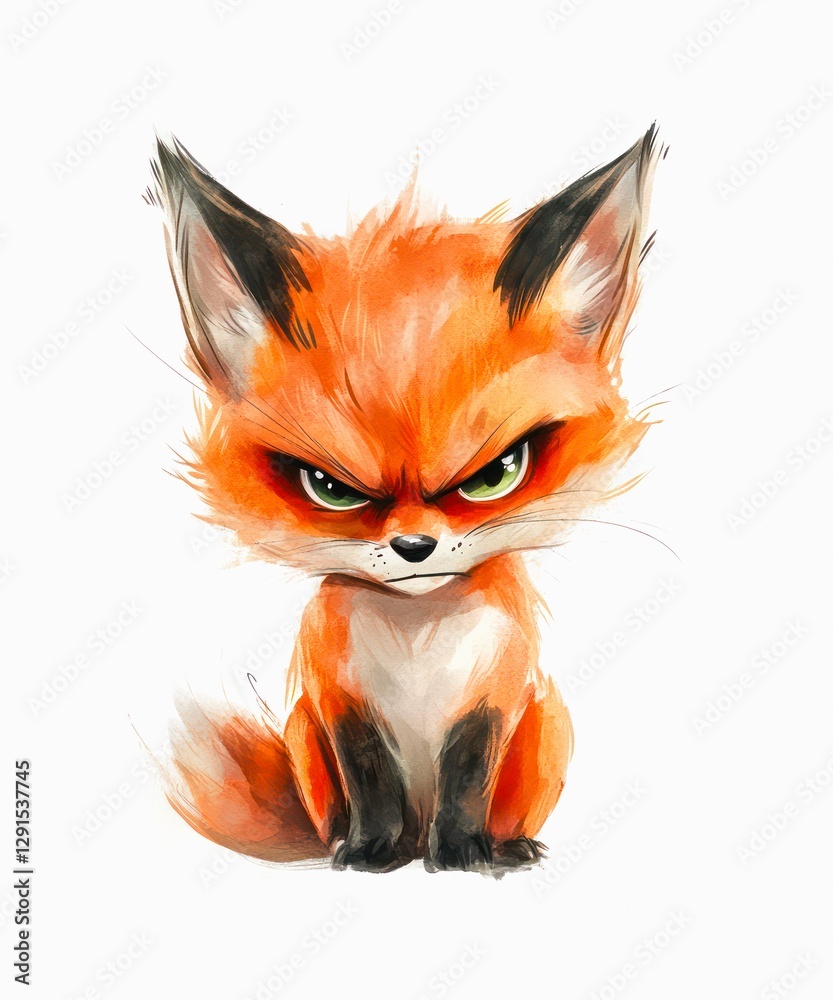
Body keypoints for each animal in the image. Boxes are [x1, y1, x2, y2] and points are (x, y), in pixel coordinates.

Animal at [149, 124, 664, 874]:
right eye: (330, 488)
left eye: (495, 474)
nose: (413, 546)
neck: (419, 641)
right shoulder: (341, 705)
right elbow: (372, 783)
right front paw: (370, 851)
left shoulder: (492, 700)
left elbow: (465, 782)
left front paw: (462, 854)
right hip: (302, 732)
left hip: (547, 724)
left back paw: (508, 845)